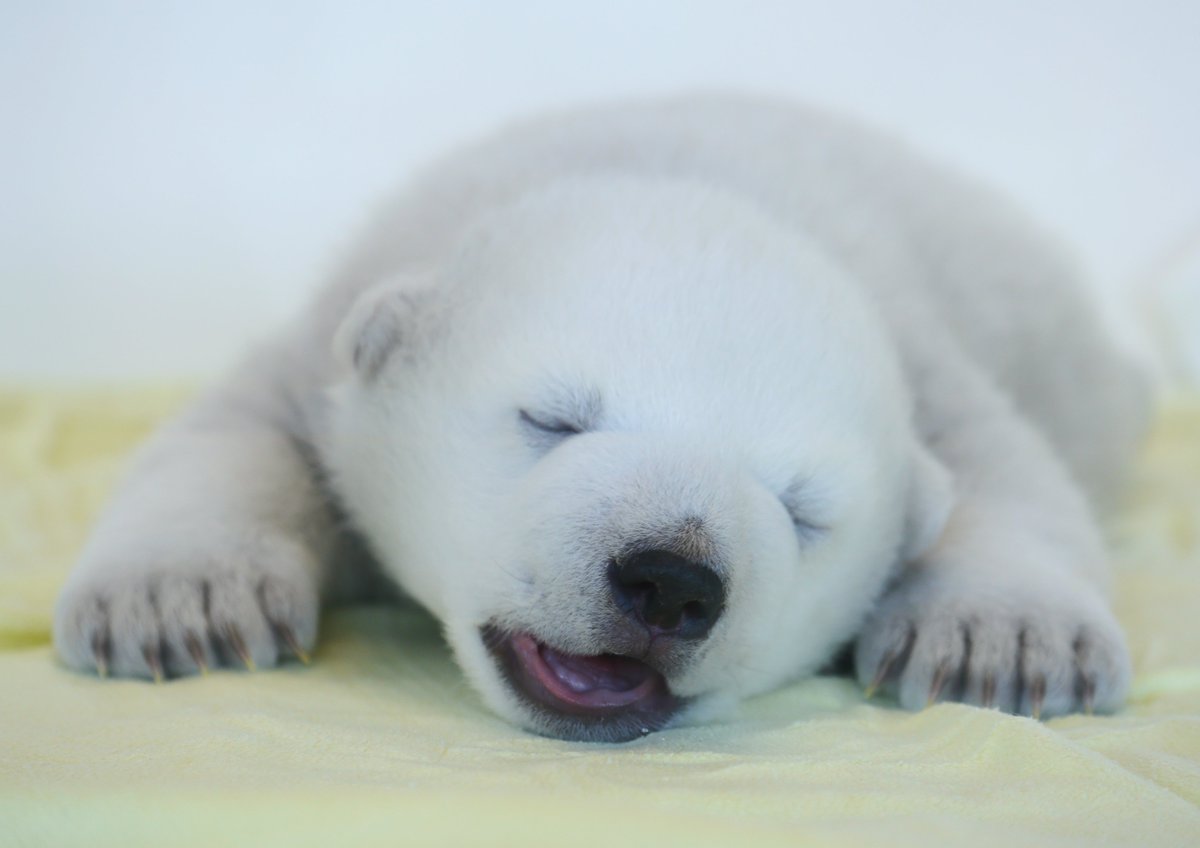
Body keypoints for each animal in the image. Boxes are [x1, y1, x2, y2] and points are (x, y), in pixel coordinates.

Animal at [54, 94, 1150, 742]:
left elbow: (1009, 472)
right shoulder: (336, 330)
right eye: (552, 418)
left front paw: (1004, 642)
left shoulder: (929, 356)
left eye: (802, 507)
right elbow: (237, 426)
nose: (672, 579)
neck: (686, 175)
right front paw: (180, 600)